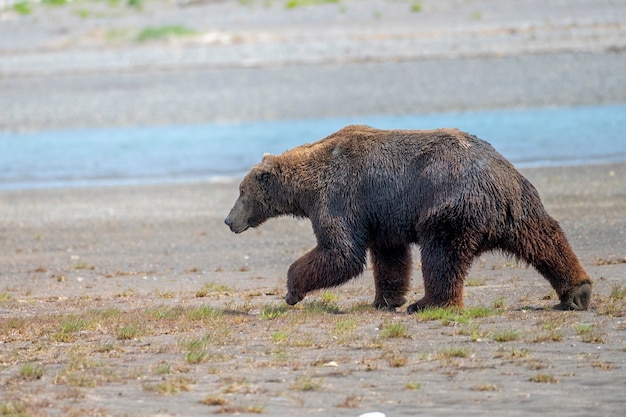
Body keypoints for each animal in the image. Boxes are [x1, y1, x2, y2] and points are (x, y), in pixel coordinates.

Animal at [224, 124, 588, 312]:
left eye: (241, 191)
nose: (229, 220)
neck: (307, 185)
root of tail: (500, 178)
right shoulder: (381, 213)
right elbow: (389, 256)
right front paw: (386, 299)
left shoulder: (339, 198)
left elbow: (341, 253)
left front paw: (292, 290)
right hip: (521, 204)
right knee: (544, 237)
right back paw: (577, 292)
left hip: (450, 205)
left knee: (442, 254)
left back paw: (430, 303)